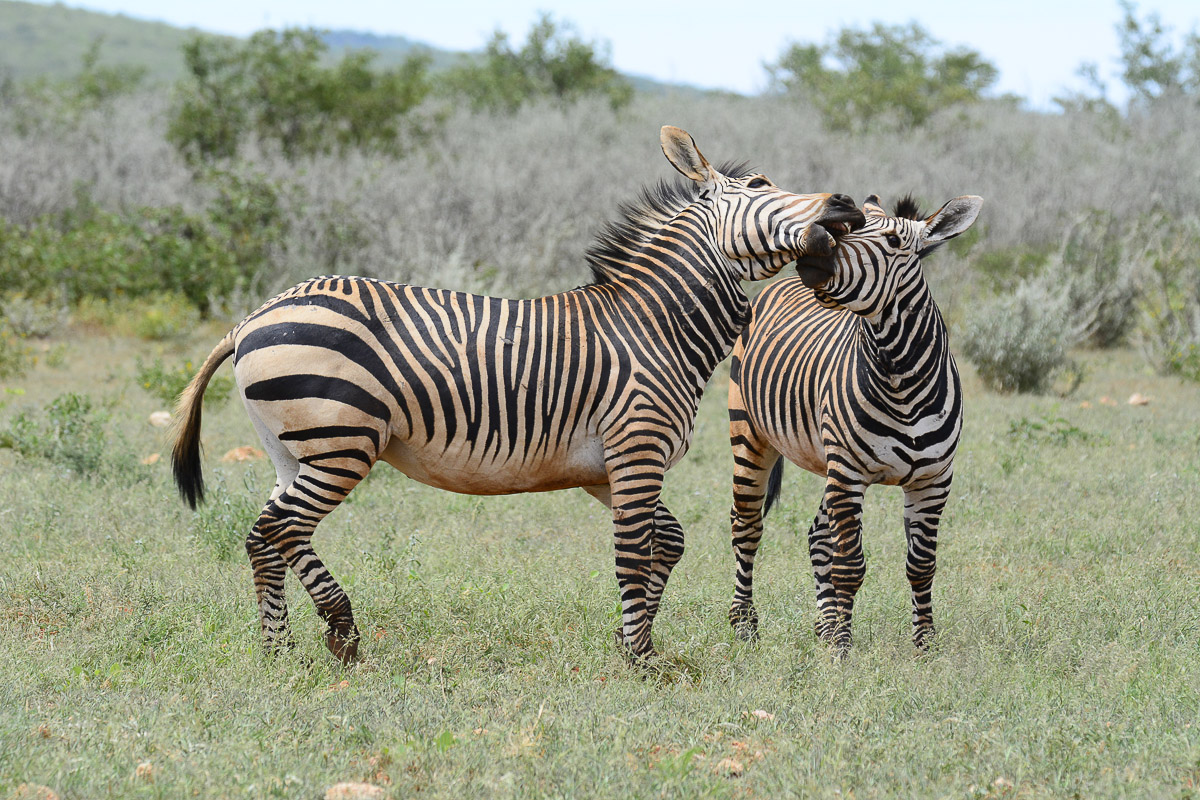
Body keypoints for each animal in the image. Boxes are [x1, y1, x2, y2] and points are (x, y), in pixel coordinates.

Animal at [171, 126, 865, 664]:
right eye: (761, 188)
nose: (847, 203)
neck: (653, 325)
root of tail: (253, 316)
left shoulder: (605, 470)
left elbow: (664, 543)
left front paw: (634, 640)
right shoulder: (635, 451)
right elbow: (634, 550)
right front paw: (640, 660)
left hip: (294, 451)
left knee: (268, 536)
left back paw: (283, 647)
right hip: (341, 442)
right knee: (279, 530)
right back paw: (333, 634)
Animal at [726, 193, 982, 653]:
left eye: (895, 240)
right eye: (852, 227)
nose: (815, 248)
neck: (902, 377)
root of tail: (781, 285)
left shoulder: (933, 480)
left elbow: (921, 565)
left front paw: (925, 645)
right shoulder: (848, 473)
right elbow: (848, 565)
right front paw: (842, 651)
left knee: (816, 534)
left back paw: (823, 624)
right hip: (751, 436)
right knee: (748, 527)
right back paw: (744, 625)